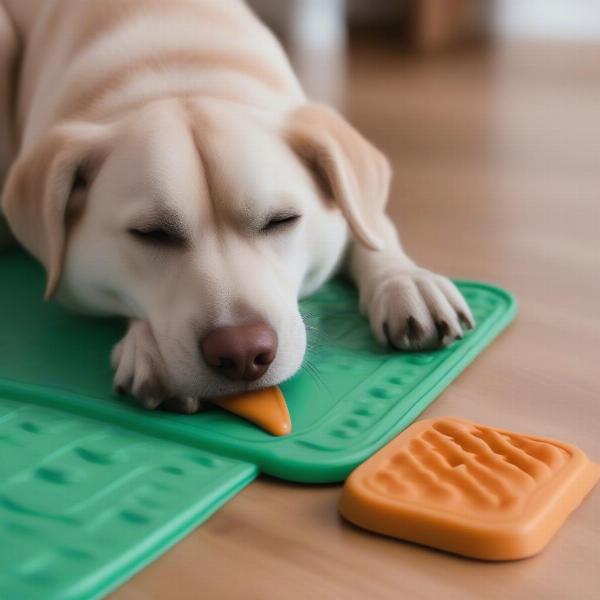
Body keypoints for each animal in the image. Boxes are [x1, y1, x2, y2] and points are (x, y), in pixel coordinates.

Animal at [2, 0, 476, 412]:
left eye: (282, 221)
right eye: (151, 233)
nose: (244, 352)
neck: (179, 71)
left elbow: (371, 229)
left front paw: (406, 281)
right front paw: (147, 347)